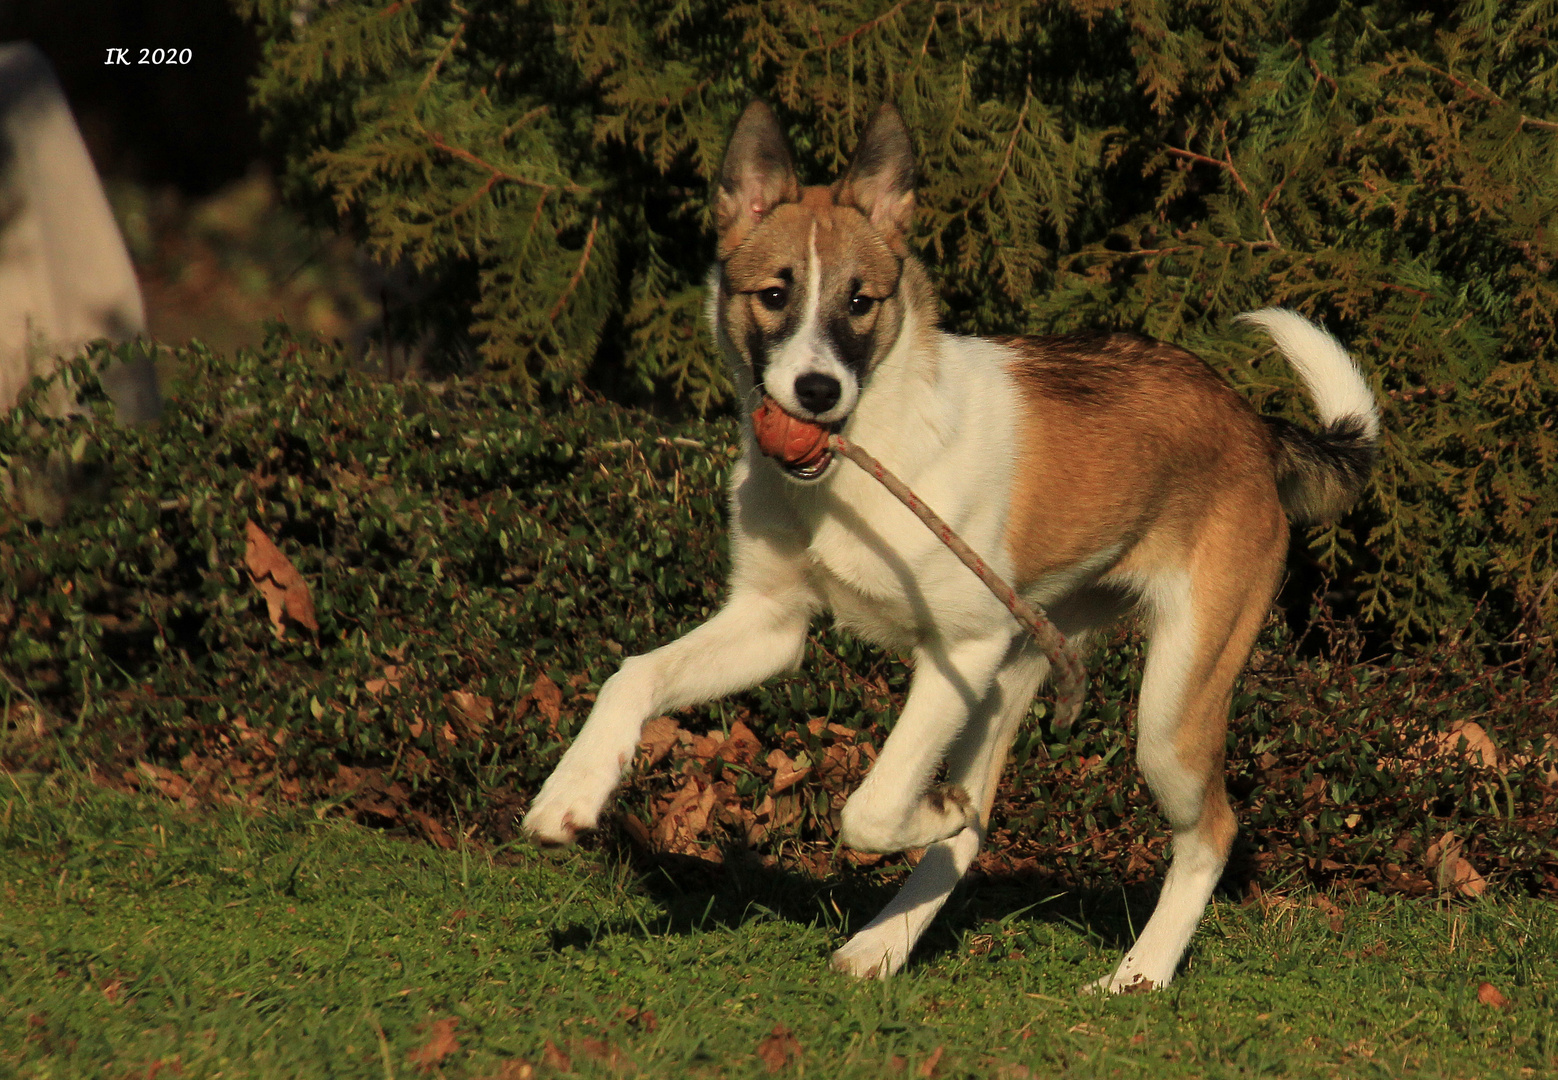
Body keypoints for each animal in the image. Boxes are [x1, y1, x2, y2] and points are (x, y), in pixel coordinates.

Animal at [523, 102, 1377, 991]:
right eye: (774, 295)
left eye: (862, 302)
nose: (817, 392)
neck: (863, 456)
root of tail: (1256, 429)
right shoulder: (771, 627)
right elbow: (633, 673)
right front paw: (571, 792)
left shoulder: (959, 648)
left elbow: (869, 807)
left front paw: (925, 809)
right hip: (1016, 670)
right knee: (978, 828)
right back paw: (884, 944)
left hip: (1165, 715)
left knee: (1209, 830)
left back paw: (1137, 975)